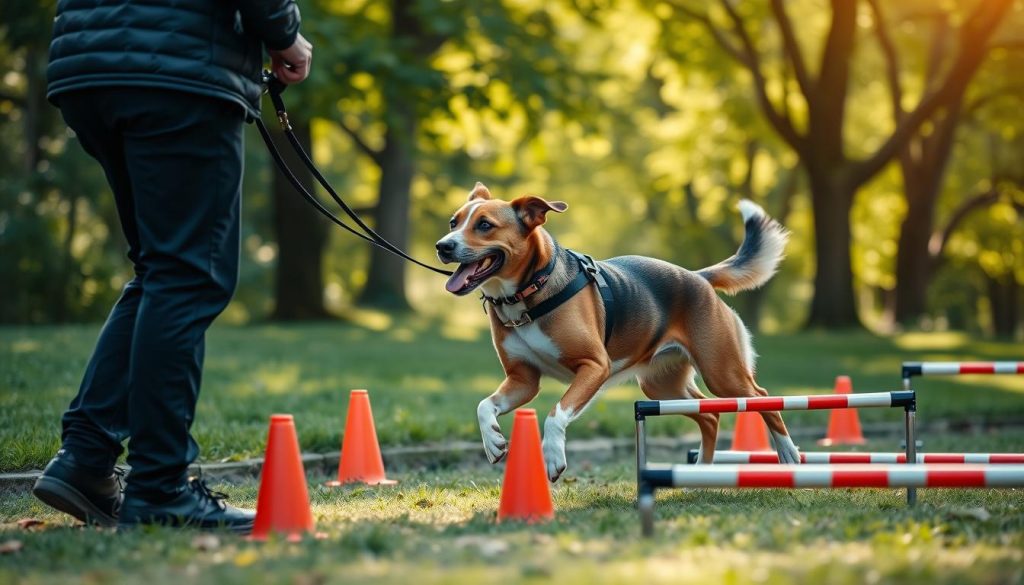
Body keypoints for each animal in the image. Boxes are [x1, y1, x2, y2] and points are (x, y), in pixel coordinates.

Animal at [434, 182, 798, 481]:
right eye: (454, 223)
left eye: (484, 225)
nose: (442, 246)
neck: (527, 293)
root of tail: (698, 276)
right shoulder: (523, 380)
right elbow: (484, 406)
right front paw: (493, 441)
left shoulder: (594, 367)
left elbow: (555, 414)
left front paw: (552, 457)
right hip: (660, 386)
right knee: (709, 416)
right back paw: (702, 471)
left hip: (722, 373)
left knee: (763, 398)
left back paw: (789, 454)